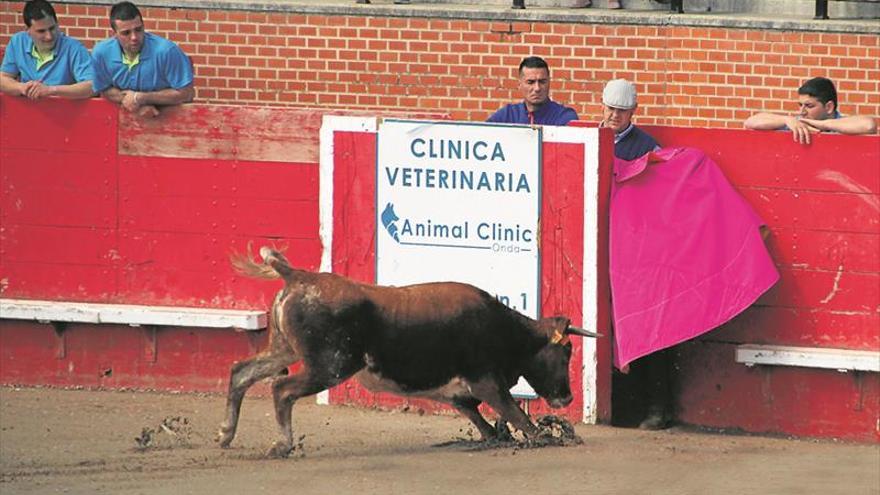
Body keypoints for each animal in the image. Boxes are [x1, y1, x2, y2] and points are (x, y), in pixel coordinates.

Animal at [218, 246, 600, 460]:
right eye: (566, 352)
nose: (567, 397)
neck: (503, 328)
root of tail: (298, 276)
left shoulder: (462, 395)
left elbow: (487, 425)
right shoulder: (487, 382)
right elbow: (522, 420)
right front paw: (550, 438)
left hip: (284, 350)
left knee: (242, 371)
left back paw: (225, 433)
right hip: (329, 366)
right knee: (281, 389)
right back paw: (281, 446)